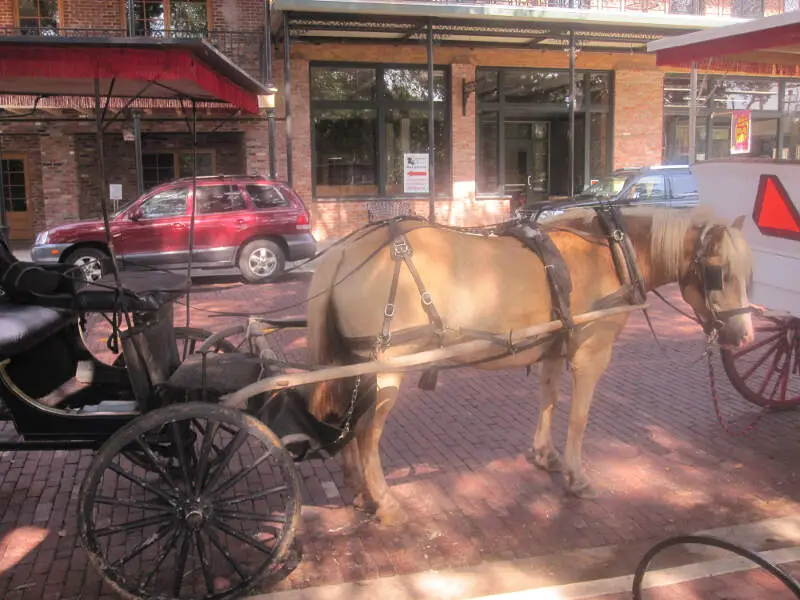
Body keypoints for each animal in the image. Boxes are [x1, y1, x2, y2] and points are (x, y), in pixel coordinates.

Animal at [304, 206, 752, 524]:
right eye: (719, 273)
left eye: (750, 274)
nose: (745, 336)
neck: (611, 253)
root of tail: (345, 250)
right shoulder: (592, 354)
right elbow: (578, 418)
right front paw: (576, 477)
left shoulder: (553, 349)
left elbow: (548, 400)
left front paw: (545, 456)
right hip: (387, 366)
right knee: (366, 432)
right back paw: (384, 500)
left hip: (355, 365)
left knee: (347, 421)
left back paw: (358, 489)